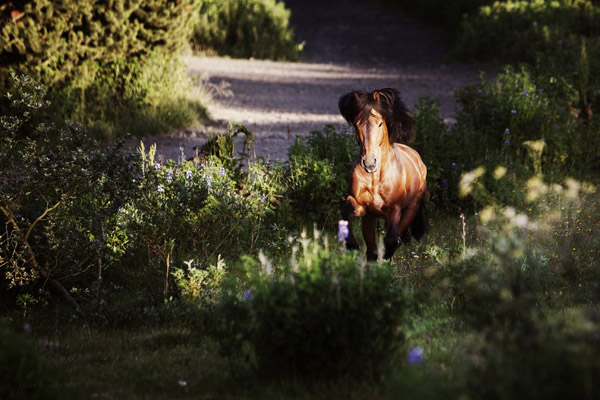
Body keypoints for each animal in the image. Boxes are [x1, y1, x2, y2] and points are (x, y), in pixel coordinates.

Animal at [338, 87, 426, 260]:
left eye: (379, 123)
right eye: (357, 124)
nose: (369, 163)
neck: (375, 179)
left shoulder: (395, 209)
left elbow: (392, 239)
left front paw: (387, 253)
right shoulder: (363, 208)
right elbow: (347, 210)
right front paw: (351, 244)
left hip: (411, 208)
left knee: (396, 235)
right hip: (370, 219)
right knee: (371, 252)